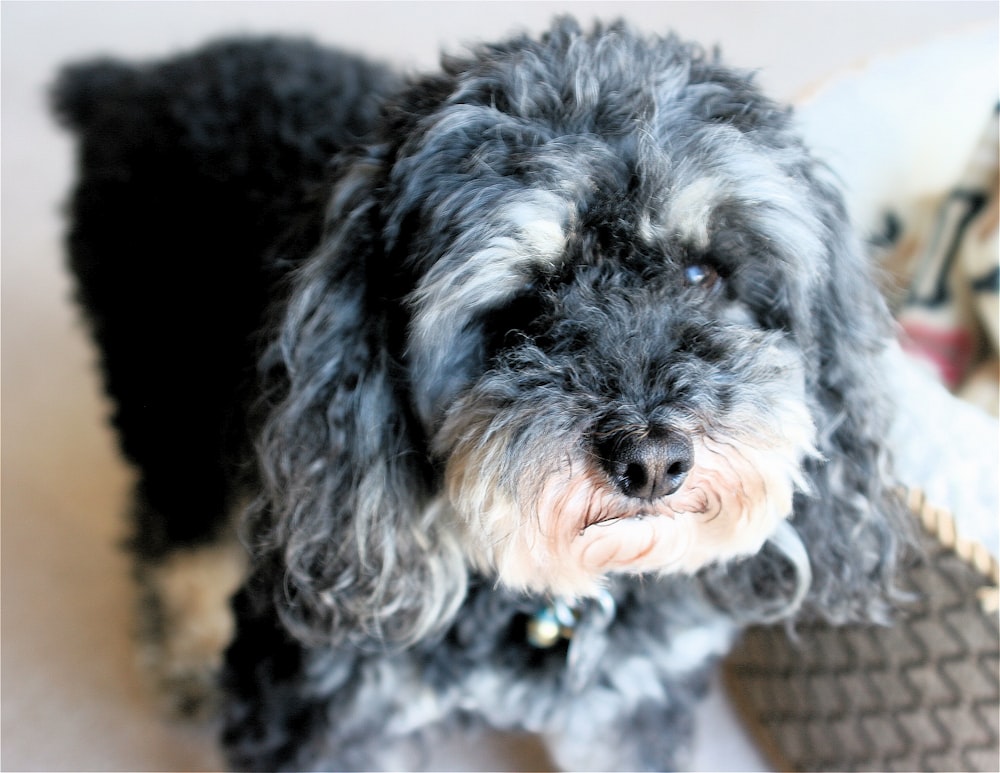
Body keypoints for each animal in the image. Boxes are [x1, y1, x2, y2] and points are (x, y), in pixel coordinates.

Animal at [56, 18, 916, 772]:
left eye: (703, 272)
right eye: (526, 298)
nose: (653, 462)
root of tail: (133, 81)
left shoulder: (631, 703)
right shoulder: (320, 706)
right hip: (170, 403)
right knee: (175, 535)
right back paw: (187, 655)